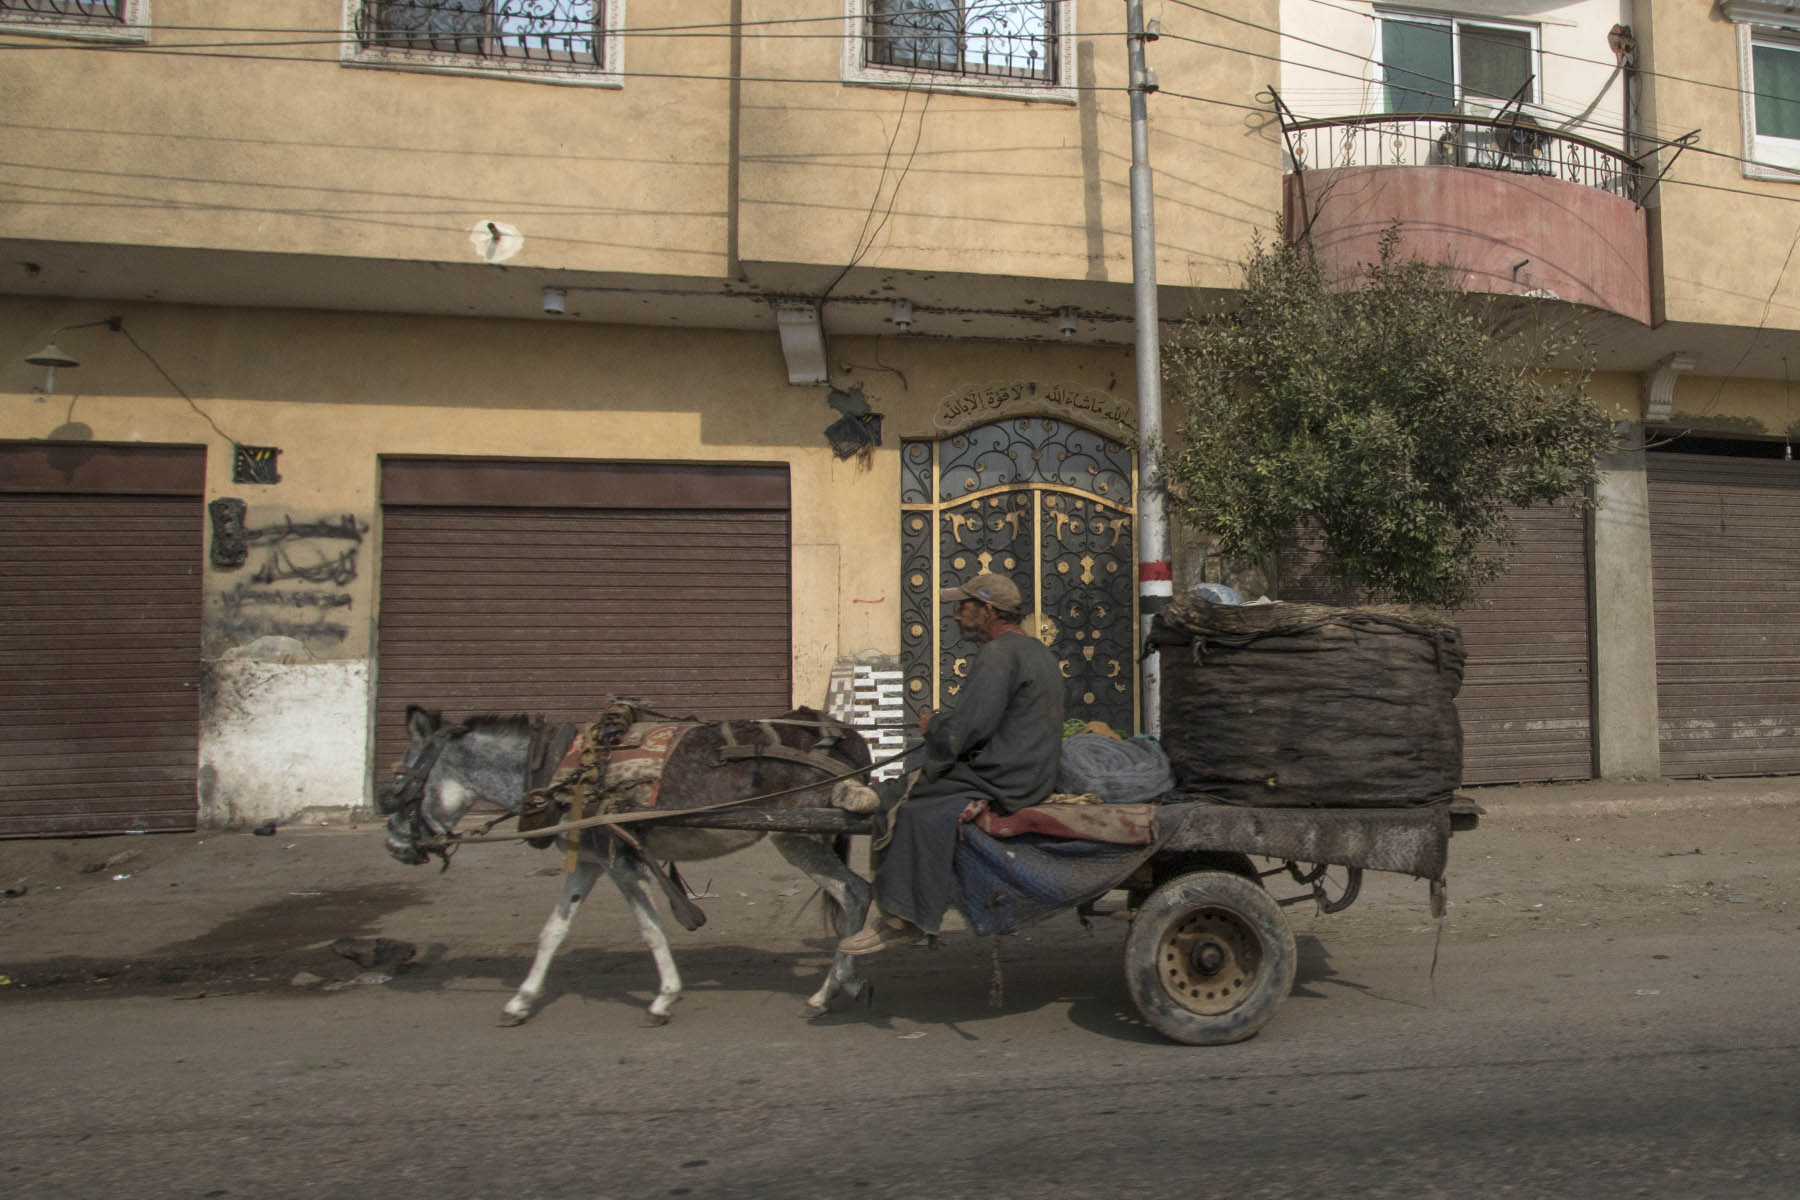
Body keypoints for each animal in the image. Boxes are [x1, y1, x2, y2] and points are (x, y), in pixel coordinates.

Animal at [378, 703, 878, 1025]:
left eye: (397, 785)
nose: (394, 844)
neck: (555, 770)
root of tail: (850, 738)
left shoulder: (620, 861)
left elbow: (650, 928)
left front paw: (664, 999)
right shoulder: (589, 860)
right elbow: (553, 931)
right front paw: (521, 1001)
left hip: (796, 837)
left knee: (853, 892)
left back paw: (826, 991)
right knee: (855, 894)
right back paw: (847, 980)